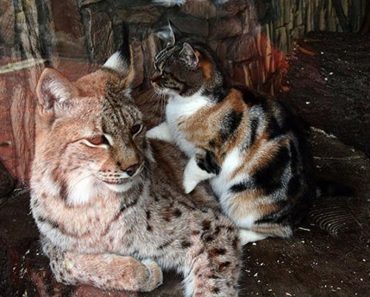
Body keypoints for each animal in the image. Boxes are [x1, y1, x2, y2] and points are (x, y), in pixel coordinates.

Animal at [30, 28, 241, 296]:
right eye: (97, 140)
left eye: (136, 128)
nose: (133, 168)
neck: (89, 200)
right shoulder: (50, 243)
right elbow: (66, 265)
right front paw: (140, 270)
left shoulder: (210, 223)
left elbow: (212, 285)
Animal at [147, 23, 316, 244]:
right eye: (155, 63)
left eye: (164, 73)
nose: (151, 79)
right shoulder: (174, 130)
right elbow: (160, 130)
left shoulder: (212, 155)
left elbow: (193, 169)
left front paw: (185, 188)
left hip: (239, 200)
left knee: (278, 230)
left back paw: (242, 234)